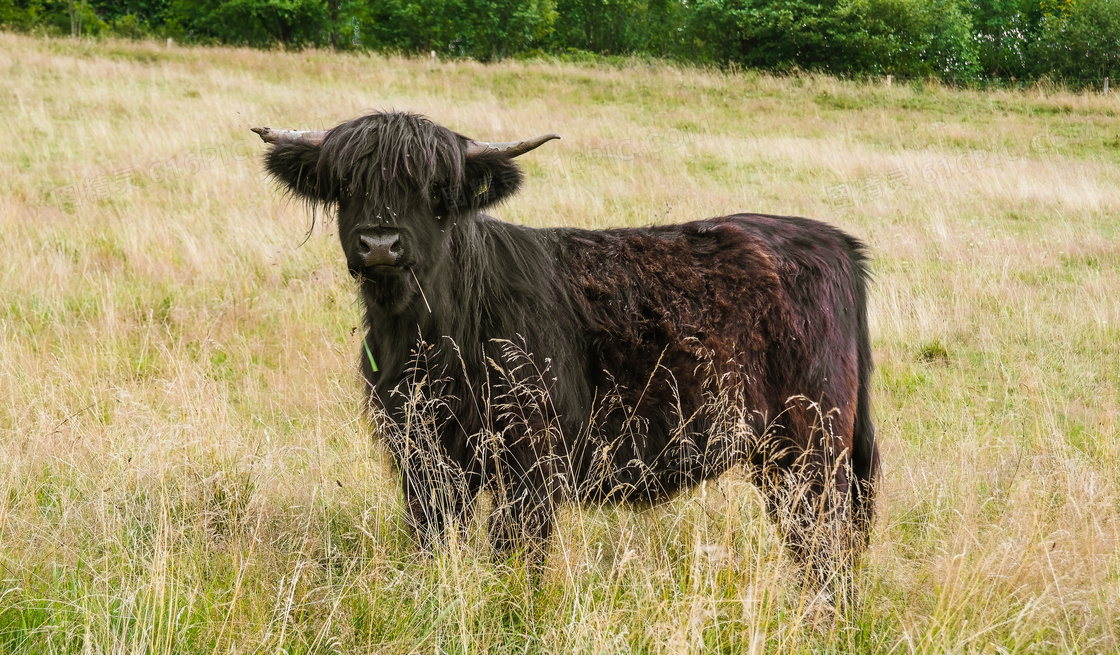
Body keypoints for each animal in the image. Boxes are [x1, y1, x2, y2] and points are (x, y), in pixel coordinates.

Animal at [252, 112, 873, 586]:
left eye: (436, 193)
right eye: (345, 186)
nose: (381, 243)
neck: (429, 337)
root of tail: (832, 240)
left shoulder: (530, 459)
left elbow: (516, 555)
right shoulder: (422, 456)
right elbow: (434, 541)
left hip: (810, 449)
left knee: (824, 548)